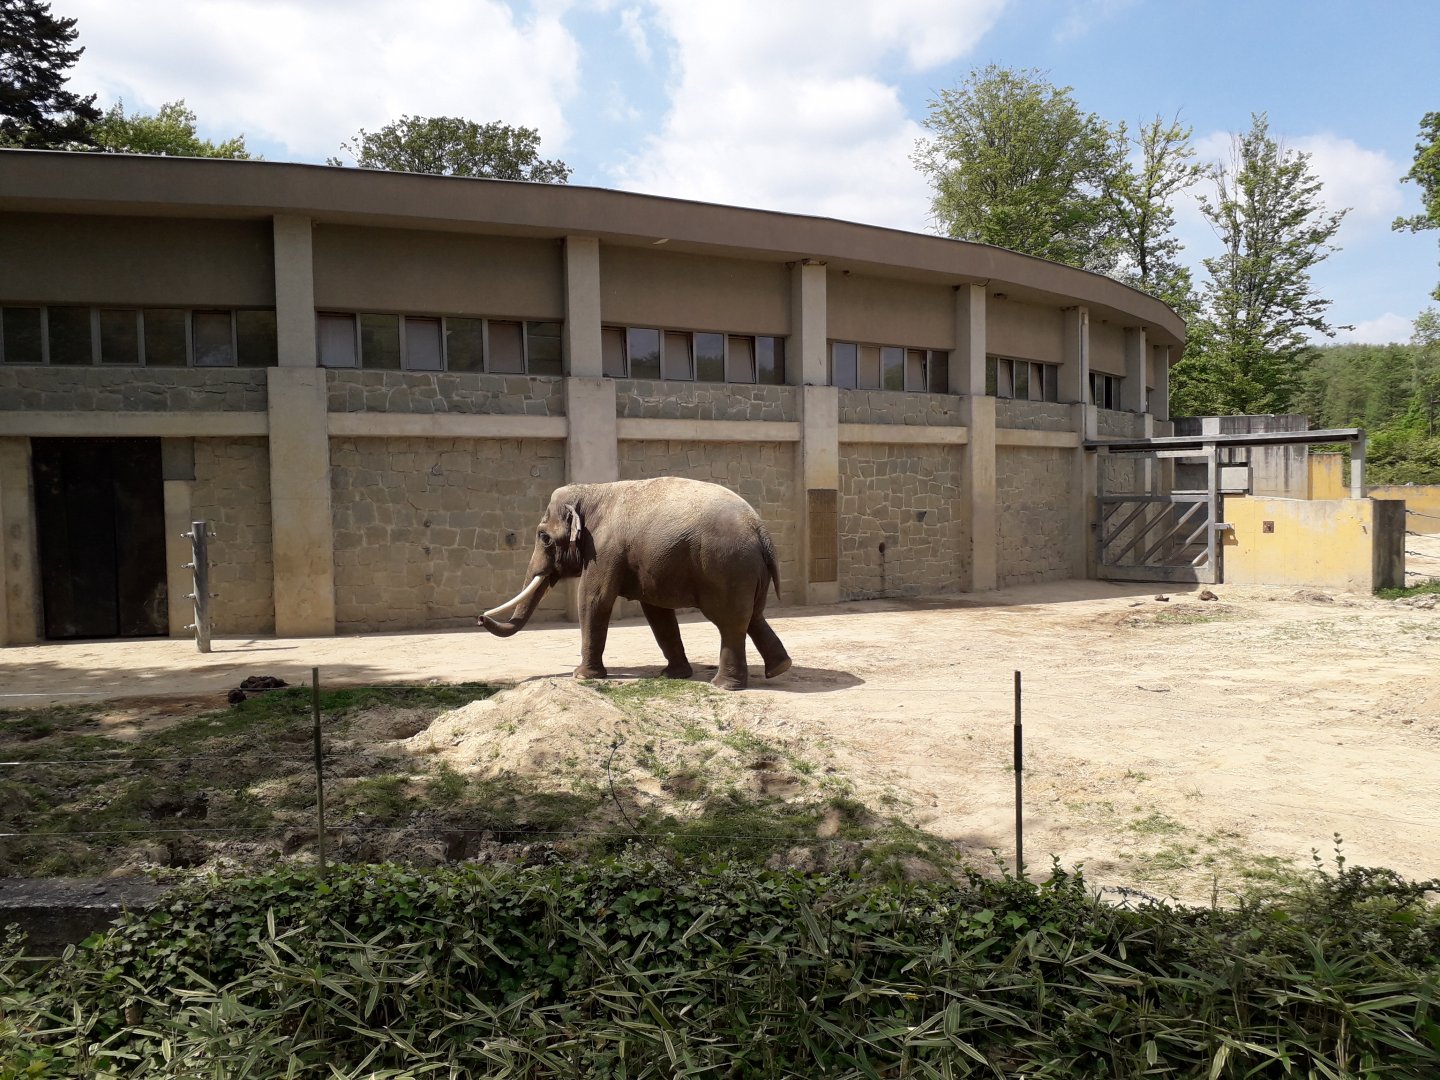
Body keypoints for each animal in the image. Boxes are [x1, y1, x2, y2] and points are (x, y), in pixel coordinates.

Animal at [479, 477, 791, 690]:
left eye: (544, 537)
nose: (481, 618)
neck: (592, 491)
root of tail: (760, 530)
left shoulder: (603, 550)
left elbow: (594, 599)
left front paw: (582, 677)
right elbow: (656, 612)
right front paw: (673, 676)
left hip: (726, 568)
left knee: (730, 623)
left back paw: (724, 685)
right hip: (747, 573)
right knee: (752, 617)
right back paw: (779, 668)